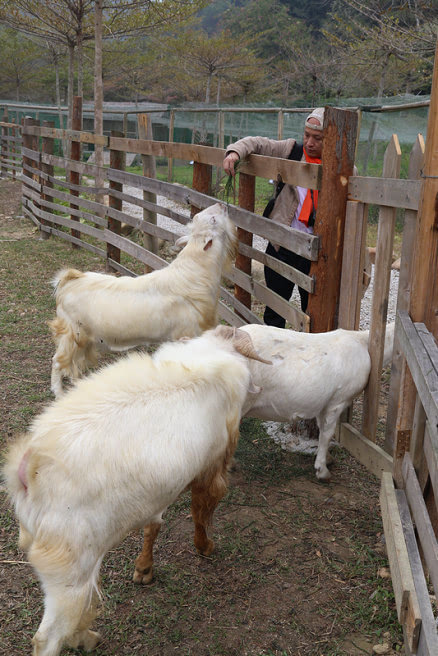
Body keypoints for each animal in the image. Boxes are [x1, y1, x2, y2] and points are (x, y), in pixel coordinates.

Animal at [3, 324, 270, 656]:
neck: (208, 357)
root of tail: (27, 470)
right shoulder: (212, 468)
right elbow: (200, 512)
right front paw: (204, 546)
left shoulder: (156, 493)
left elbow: (152, 526)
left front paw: (144, 569)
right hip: (67, 567)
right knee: (48, 636)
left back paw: (86, 637)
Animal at [48, 201, 236, 394]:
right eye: (213, 220)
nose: (221, 204)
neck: (196, 274)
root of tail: (67, 281)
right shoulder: (186, 334)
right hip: (72, 333)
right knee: (58, 361)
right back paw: (58, 391)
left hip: (83, 338)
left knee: (74, 363)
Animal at [241, 322, 396, 482]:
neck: (363, 342)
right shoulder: (338, 400)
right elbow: (327, 433)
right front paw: (322, 470)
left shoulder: (324, 403)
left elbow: (321, 430)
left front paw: (326, 459)